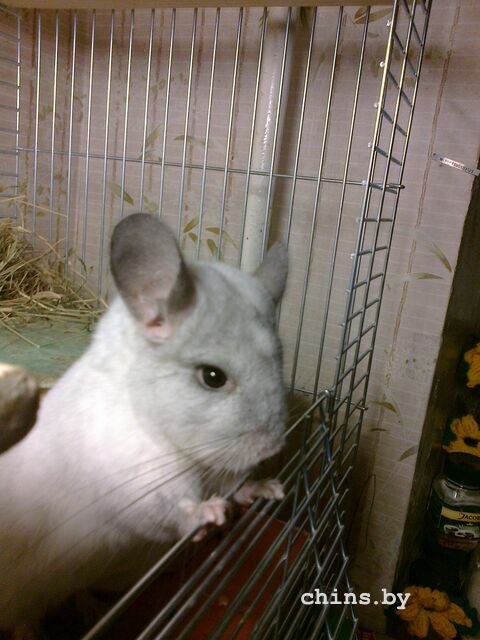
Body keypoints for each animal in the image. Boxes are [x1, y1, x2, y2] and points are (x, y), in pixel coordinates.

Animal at [0, 213, 289, 635]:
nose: (273, 447)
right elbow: (173, 509)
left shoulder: (215, 468)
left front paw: (267, 488)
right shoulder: (139, 485)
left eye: (280, 362)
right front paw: (209, 515)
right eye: (213, 377)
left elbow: (236, 486)